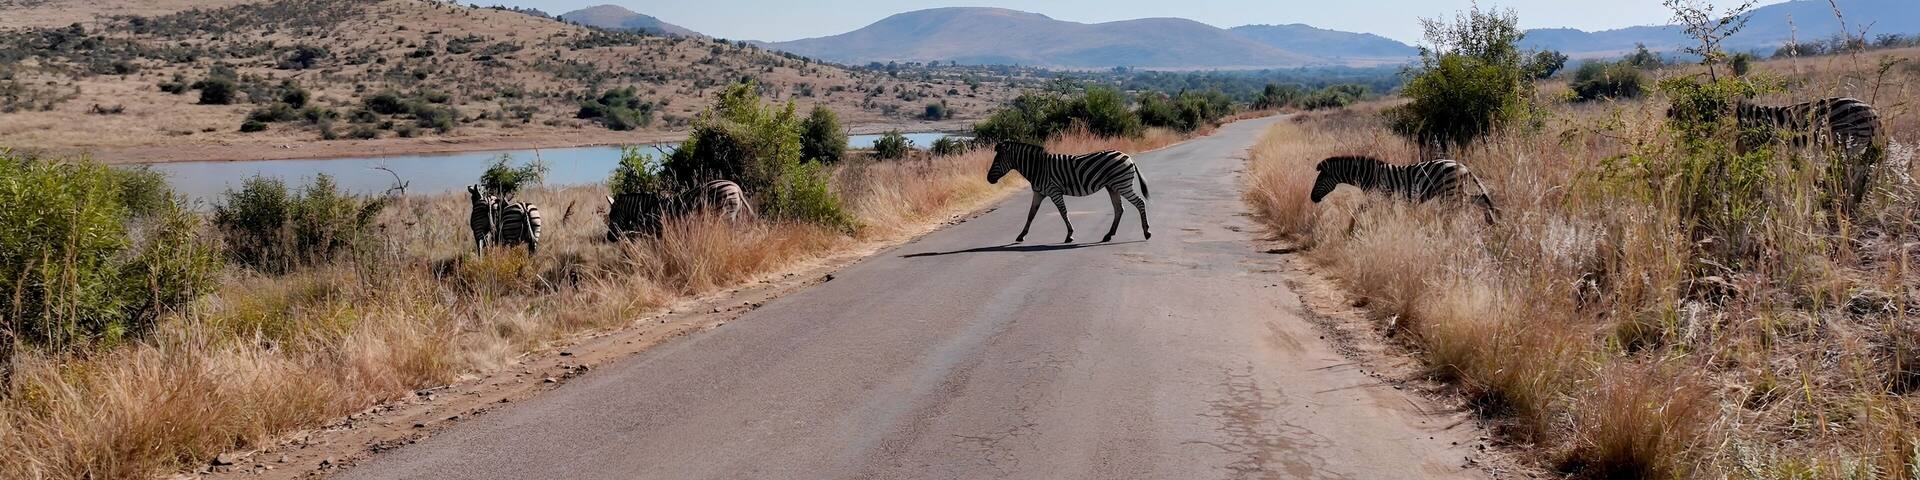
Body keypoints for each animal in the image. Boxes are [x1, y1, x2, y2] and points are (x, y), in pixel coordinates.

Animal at [987, 142, 1150, 244]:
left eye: (997, 160)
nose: (988, 179)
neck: (1037, 168)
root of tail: (1129, 157)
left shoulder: (1054, 191)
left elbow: (1063, 212)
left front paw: (1069, 235)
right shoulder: (1039, 193)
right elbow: (1031, 214)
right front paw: (1021, 236)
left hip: (1122, 185)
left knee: (1140, 202)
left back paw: (1146, 232)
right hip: (1113, 186)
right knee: (1119, 209)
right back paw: (1108, 235)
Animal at [1309, 156, 1499, 225]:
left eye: (1320, 180)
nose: (1312, 198)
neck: (1369, 175)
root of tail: (1464, 166)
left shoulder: (1379, 196)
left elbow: (1357, 211)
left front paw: (1348, 231)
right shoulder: (1386, 198)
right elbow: (1387, 214)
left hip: (1449, 193)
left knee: (1461, 208)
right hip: (1457, 191)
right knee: (1479, 199)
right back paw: (1490, 221)